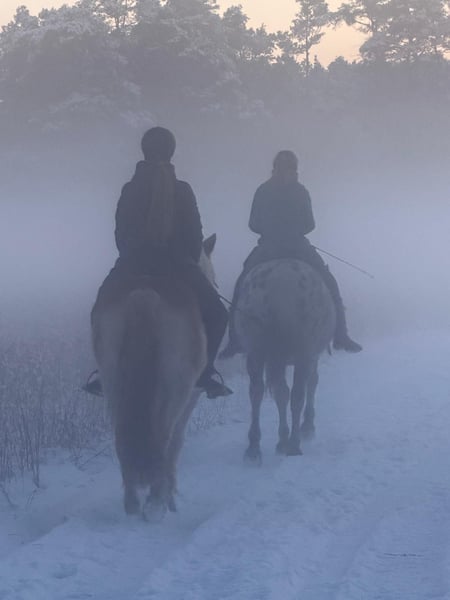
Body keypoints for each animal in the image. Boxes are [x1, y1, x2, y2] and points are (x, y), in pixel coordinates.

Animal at [90, 235, 217, 520]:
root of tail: (143, 295)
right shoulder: (192, 396)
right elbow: (176, 443)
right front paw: (170, 496)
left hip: (113, 385)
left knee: (123, 440)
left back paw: (133, 504)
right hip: (176, 390)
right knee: (162, 438)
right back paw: (156, 503)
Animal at [234, 258, 336, 462]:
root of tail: (281, 282)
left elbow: (281, 393)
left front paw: (281, 440)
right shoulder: (311, 356)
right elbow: (310, 384)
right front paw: (306, 428)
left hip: (256, 351)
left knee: (257, 392)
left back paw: (254, 448)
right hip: (303, 353)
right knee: (297, 395)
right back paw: (294, 444)